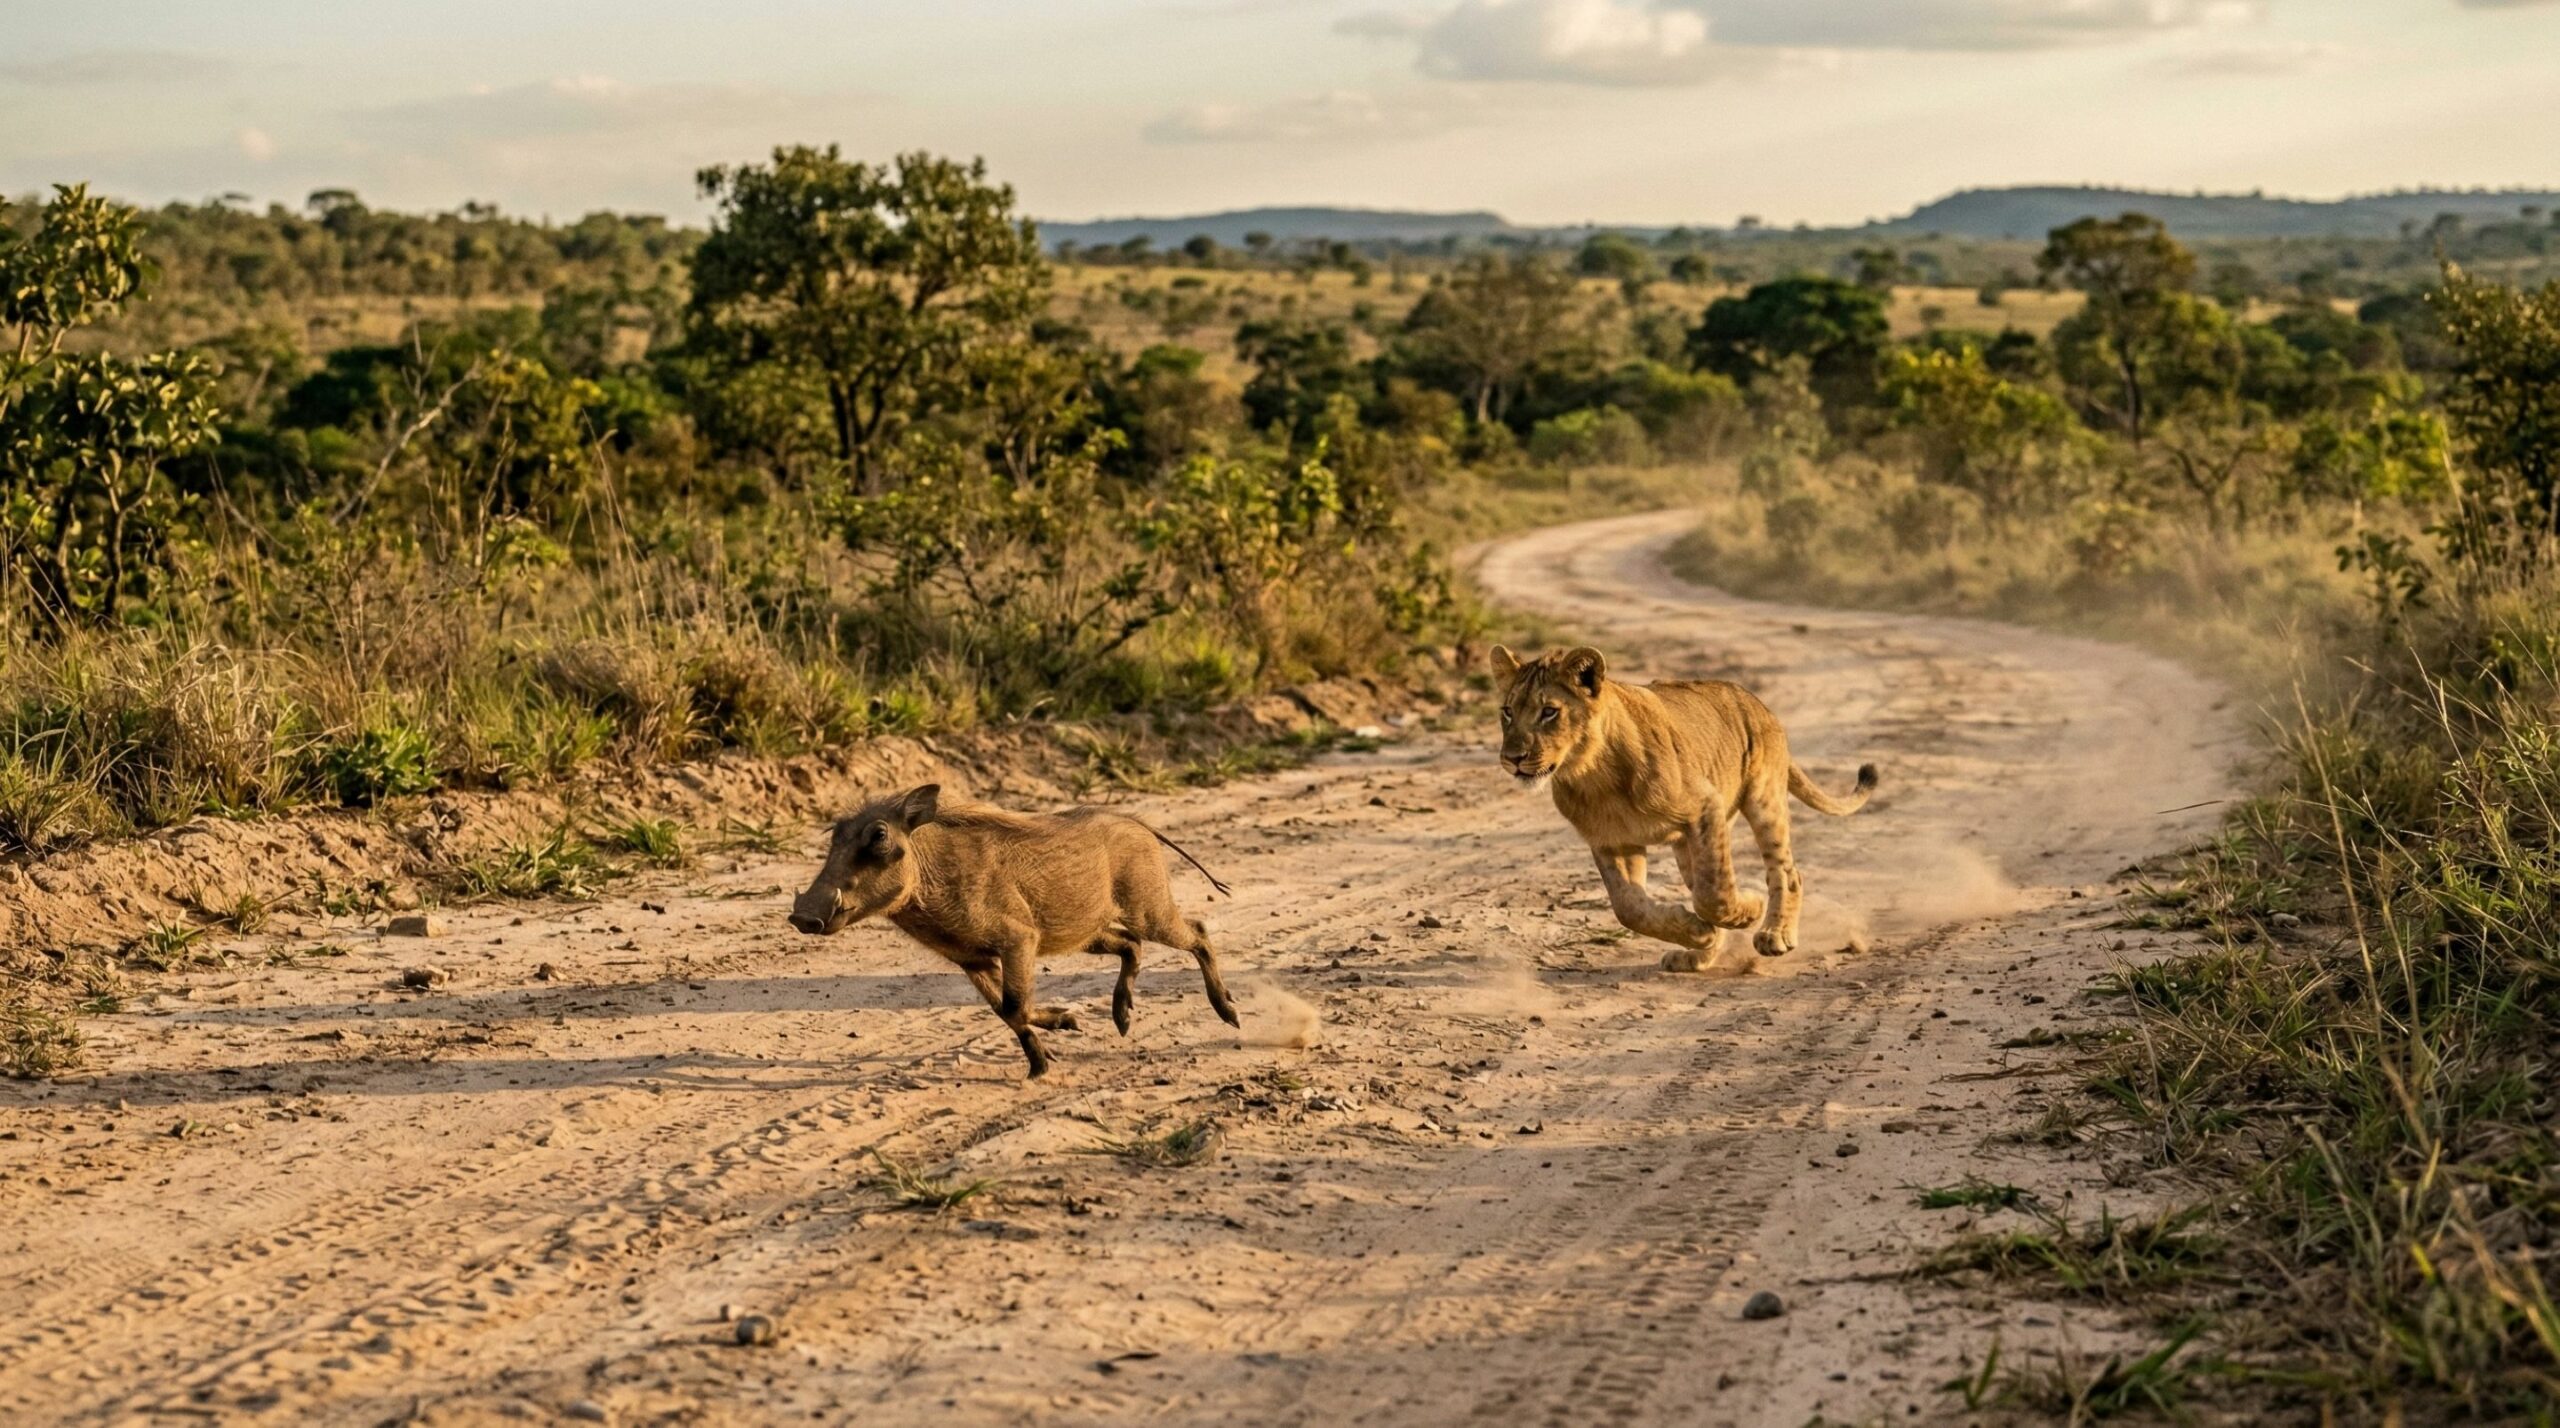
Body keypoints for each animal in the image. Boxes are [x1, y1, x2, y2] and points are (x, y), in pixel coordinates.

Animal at [1490, 644, 1877, 972]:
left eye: (1549, 712)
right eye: (1507, 712)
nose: (1512, 758)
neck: (1592, 775)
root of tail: (1759, 704)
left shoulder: (1706, 806)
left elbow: (1714, 895)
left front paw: (1748, 908)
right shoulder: (1611, 841)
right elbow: (1630, 909)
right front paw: (1698, 933)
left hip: (1762, 800)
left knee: (1786, 872)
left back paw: (1774, 934)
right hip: (1687, 845)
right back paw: (1699, 955)